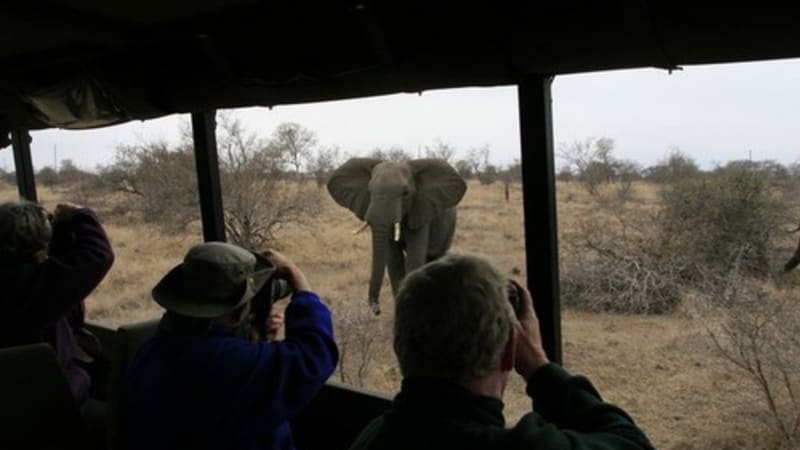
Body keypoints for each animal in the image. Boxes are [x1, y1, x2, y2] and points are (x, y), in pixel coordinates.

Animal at [326, 160, 466, 314]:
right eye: (369, 191)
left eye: (405, 193)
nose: (377, 310)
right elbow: (394, 262)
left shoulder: (420, 212)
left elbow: (413, 259)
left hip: (449, 227)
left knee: (436, 258)